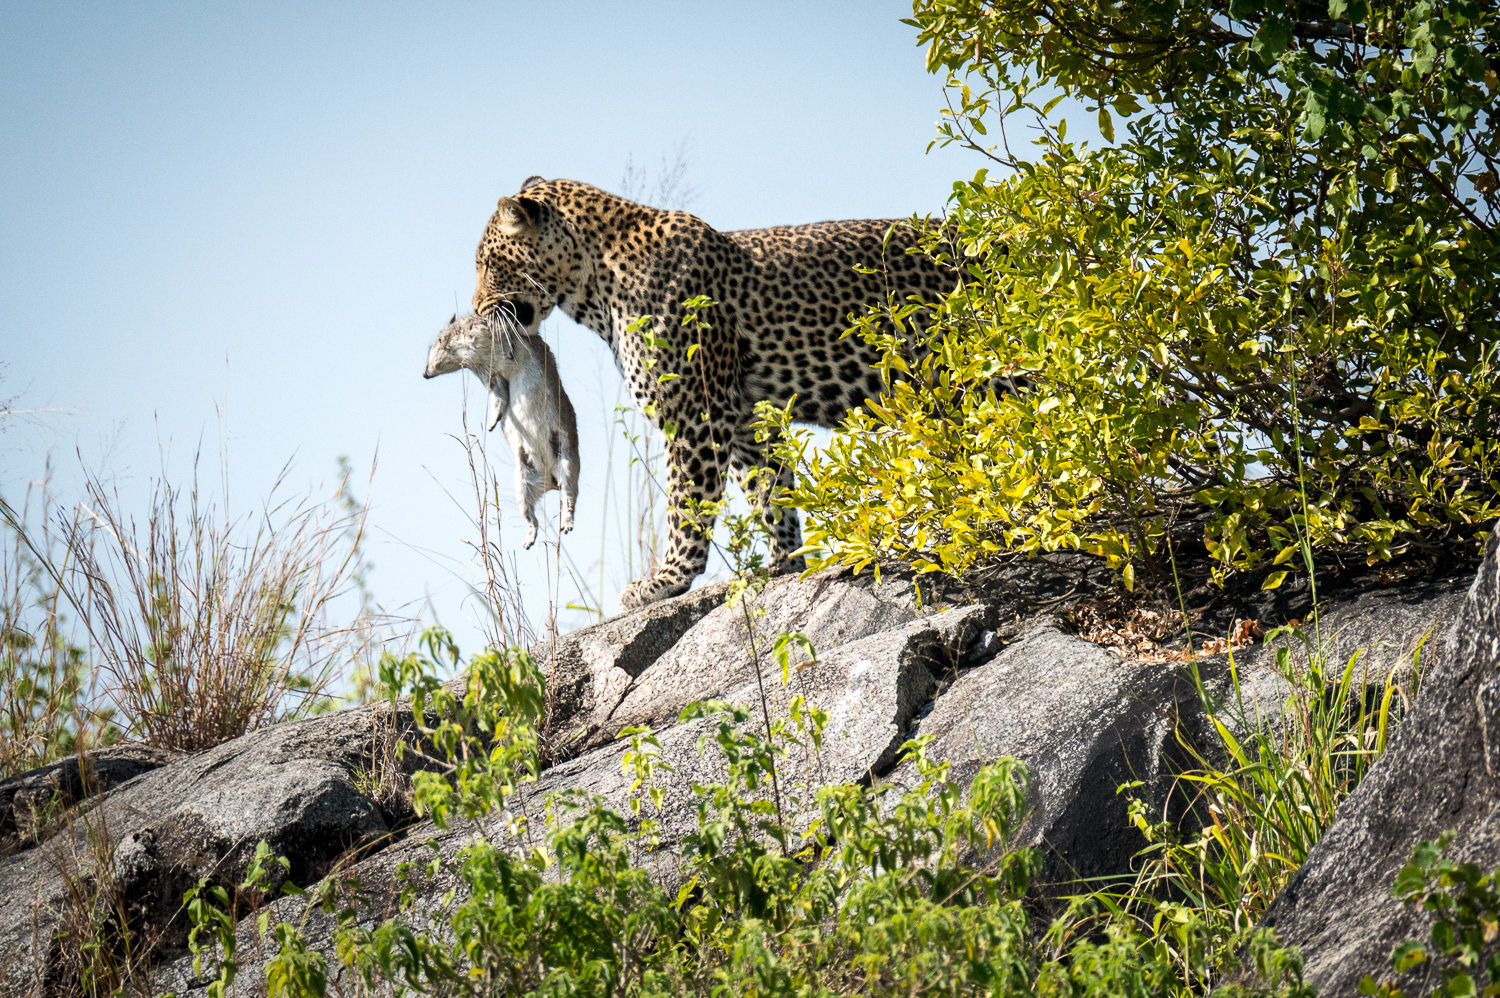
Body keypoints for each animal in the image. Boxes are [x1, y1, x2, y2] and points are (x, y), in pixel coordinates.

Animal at [474, 174, 954, 603]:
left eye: (488, 264)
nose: (476, 309)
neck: (596, 287)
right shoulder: (746, 419)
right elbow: (770, 492)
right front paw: (785, 564)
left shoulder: (694, 410)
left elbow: (686, 502)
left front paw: (667, 579)